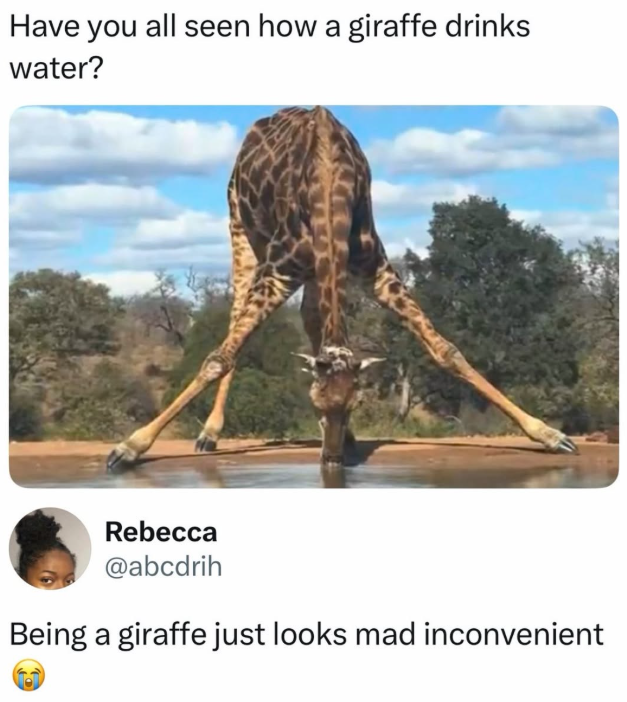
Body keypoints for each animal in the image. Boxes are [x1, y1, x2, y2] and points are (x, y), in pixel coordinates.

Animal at [106, 106, 577, 472]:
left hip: (313, 271)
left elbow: (446, 351)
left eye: (352, 407)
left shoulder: (374, 269)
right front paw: (128, 448)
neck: (329, 179)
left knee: (311, 319)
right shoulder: (278, 269)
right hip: (240, 229)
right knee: (235, 320)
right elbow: (218, 358)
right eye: (316, 404)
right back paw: (209, 434)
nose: (332, 460)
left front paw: (551, 435)